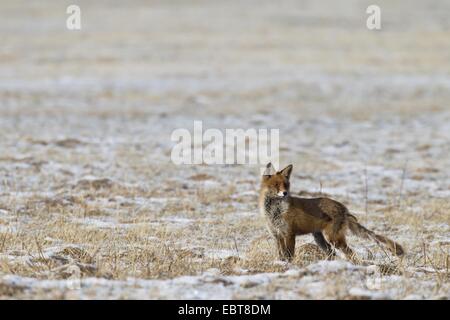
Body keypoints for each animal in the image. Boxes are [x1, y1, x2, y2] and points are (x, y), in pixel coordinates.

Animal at [258, 164, 406, 262]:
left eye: (286, 185)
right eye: (276, 185)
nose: (285, 193)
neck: (275, 211)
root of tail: (344, 208)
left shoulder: (289, 233)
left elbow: (289, 255)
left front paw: (289, 266)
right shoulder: (277, 235)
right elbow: (281, 254)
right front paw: (281, 264)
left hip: (333, 238)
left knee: (350, 253)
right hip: (321, 239)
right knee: (332, 253)